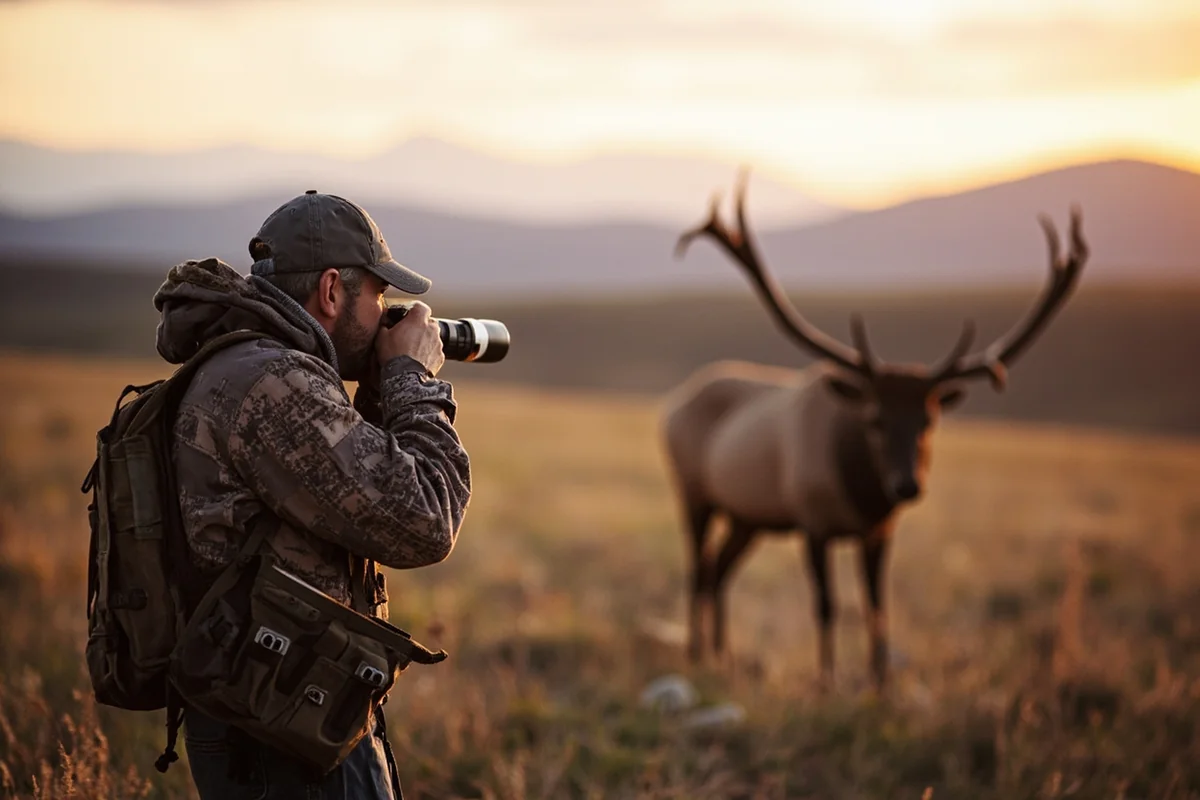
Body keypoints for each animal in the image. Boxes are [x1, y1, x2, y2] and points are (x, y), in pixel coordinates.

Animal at [661, 171, 1087, 691]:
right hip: (693, 492)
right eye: (875, 418)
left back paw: (722, 653)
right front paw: (826, 682)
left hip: (748, 516)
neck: (859, 492)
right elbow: (827, 606)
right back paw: (696, 651)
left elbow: (877, 608)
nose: (907, 486)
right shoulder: (813, 522)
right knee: (697, 569)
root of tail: (674, 402)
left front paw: (881, 683)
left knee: (720, 571)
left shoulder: (879, 532)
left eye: (929, 419)